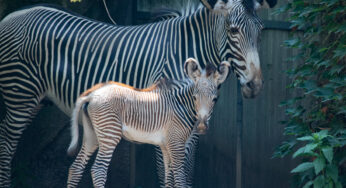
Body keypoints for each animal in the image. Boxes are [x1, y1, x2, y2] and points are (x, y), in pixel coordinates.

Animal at [67, 58, 230, 187]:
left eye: (215, 99)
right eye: (195, 97)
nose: (201, 127)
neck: (180, 104)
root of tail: (92, 94)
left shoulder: (166, 145)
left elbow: (168, 179)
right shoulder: (176, 143)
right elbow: (179, 180)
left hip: (92, 135)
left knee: (75, 168)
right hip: (109, 134)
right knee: (98, 170)